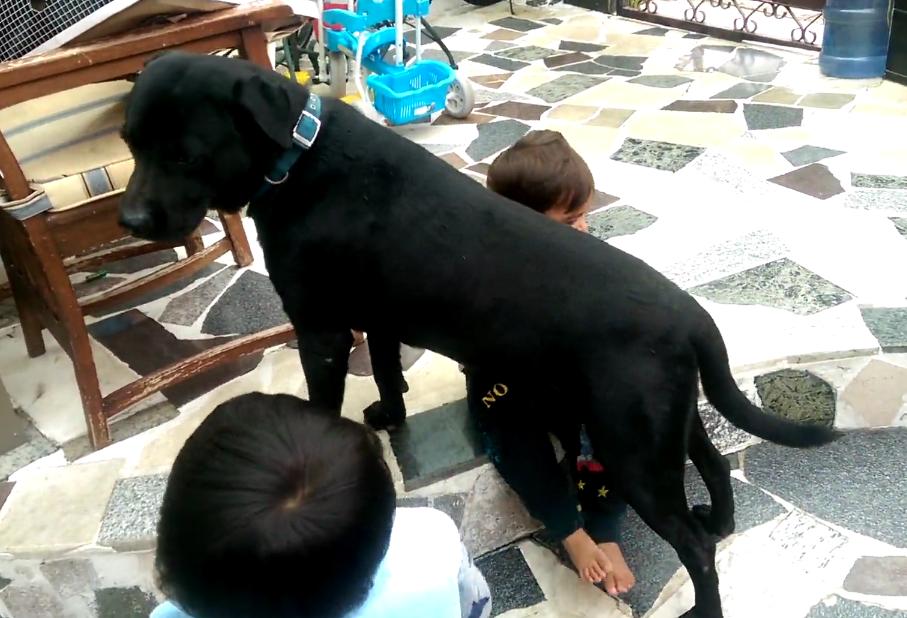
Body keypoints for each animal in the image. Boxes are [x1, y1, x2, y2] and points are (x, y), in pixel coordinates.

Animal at [119, 53, 836, 616]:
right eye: (128, 143)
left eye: (185, 154)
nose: (129, 221)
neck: (299, 153)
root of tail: (692, 313)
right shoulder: (379, 318)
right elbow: (387, 371)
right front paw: (387, 415)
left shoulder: (320, 330)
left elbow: (326, 399)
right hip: (663, 423)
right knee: (711, 464)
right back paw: (722, 520)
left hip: (631, 449)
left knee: (694, 548)